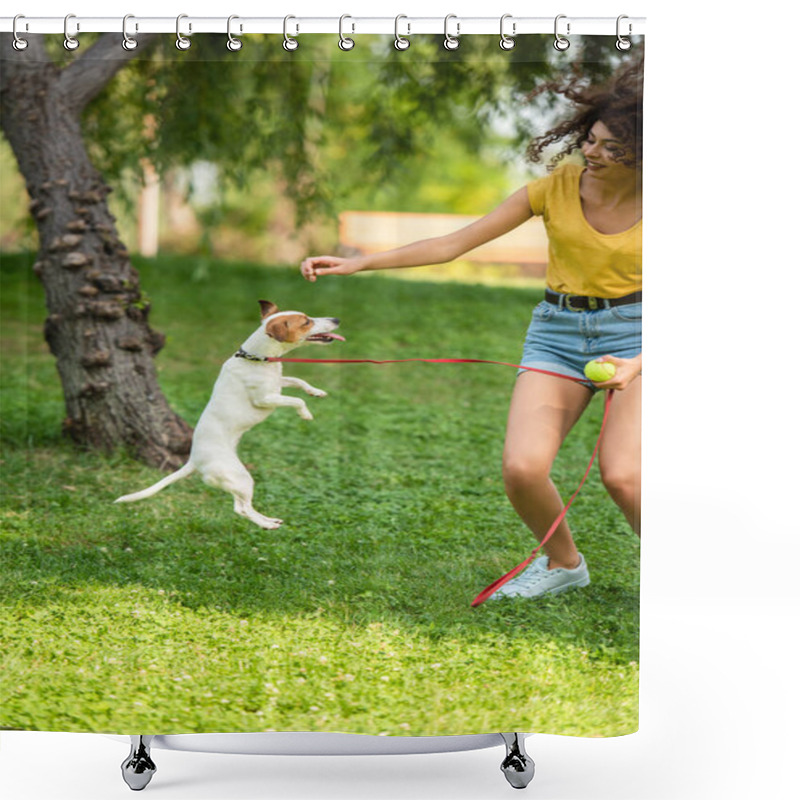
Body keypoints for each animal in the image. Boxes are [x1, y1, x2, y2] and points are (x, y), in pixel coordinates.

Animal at [115, 298, 344, 524]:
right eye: (306, 322)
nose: (337, 319)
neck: (257, 358)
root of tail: (194, 460)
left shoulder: (278, 384)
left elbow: (298, 381)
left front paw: (316, 392)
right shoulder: (266, 399)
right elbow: (296, 400)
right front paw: (305, 413)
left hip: (237, 479)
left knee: (242, 505)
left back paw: (269, 521)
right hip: (240, 477)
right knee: (241, 509)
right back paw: (267, 525)